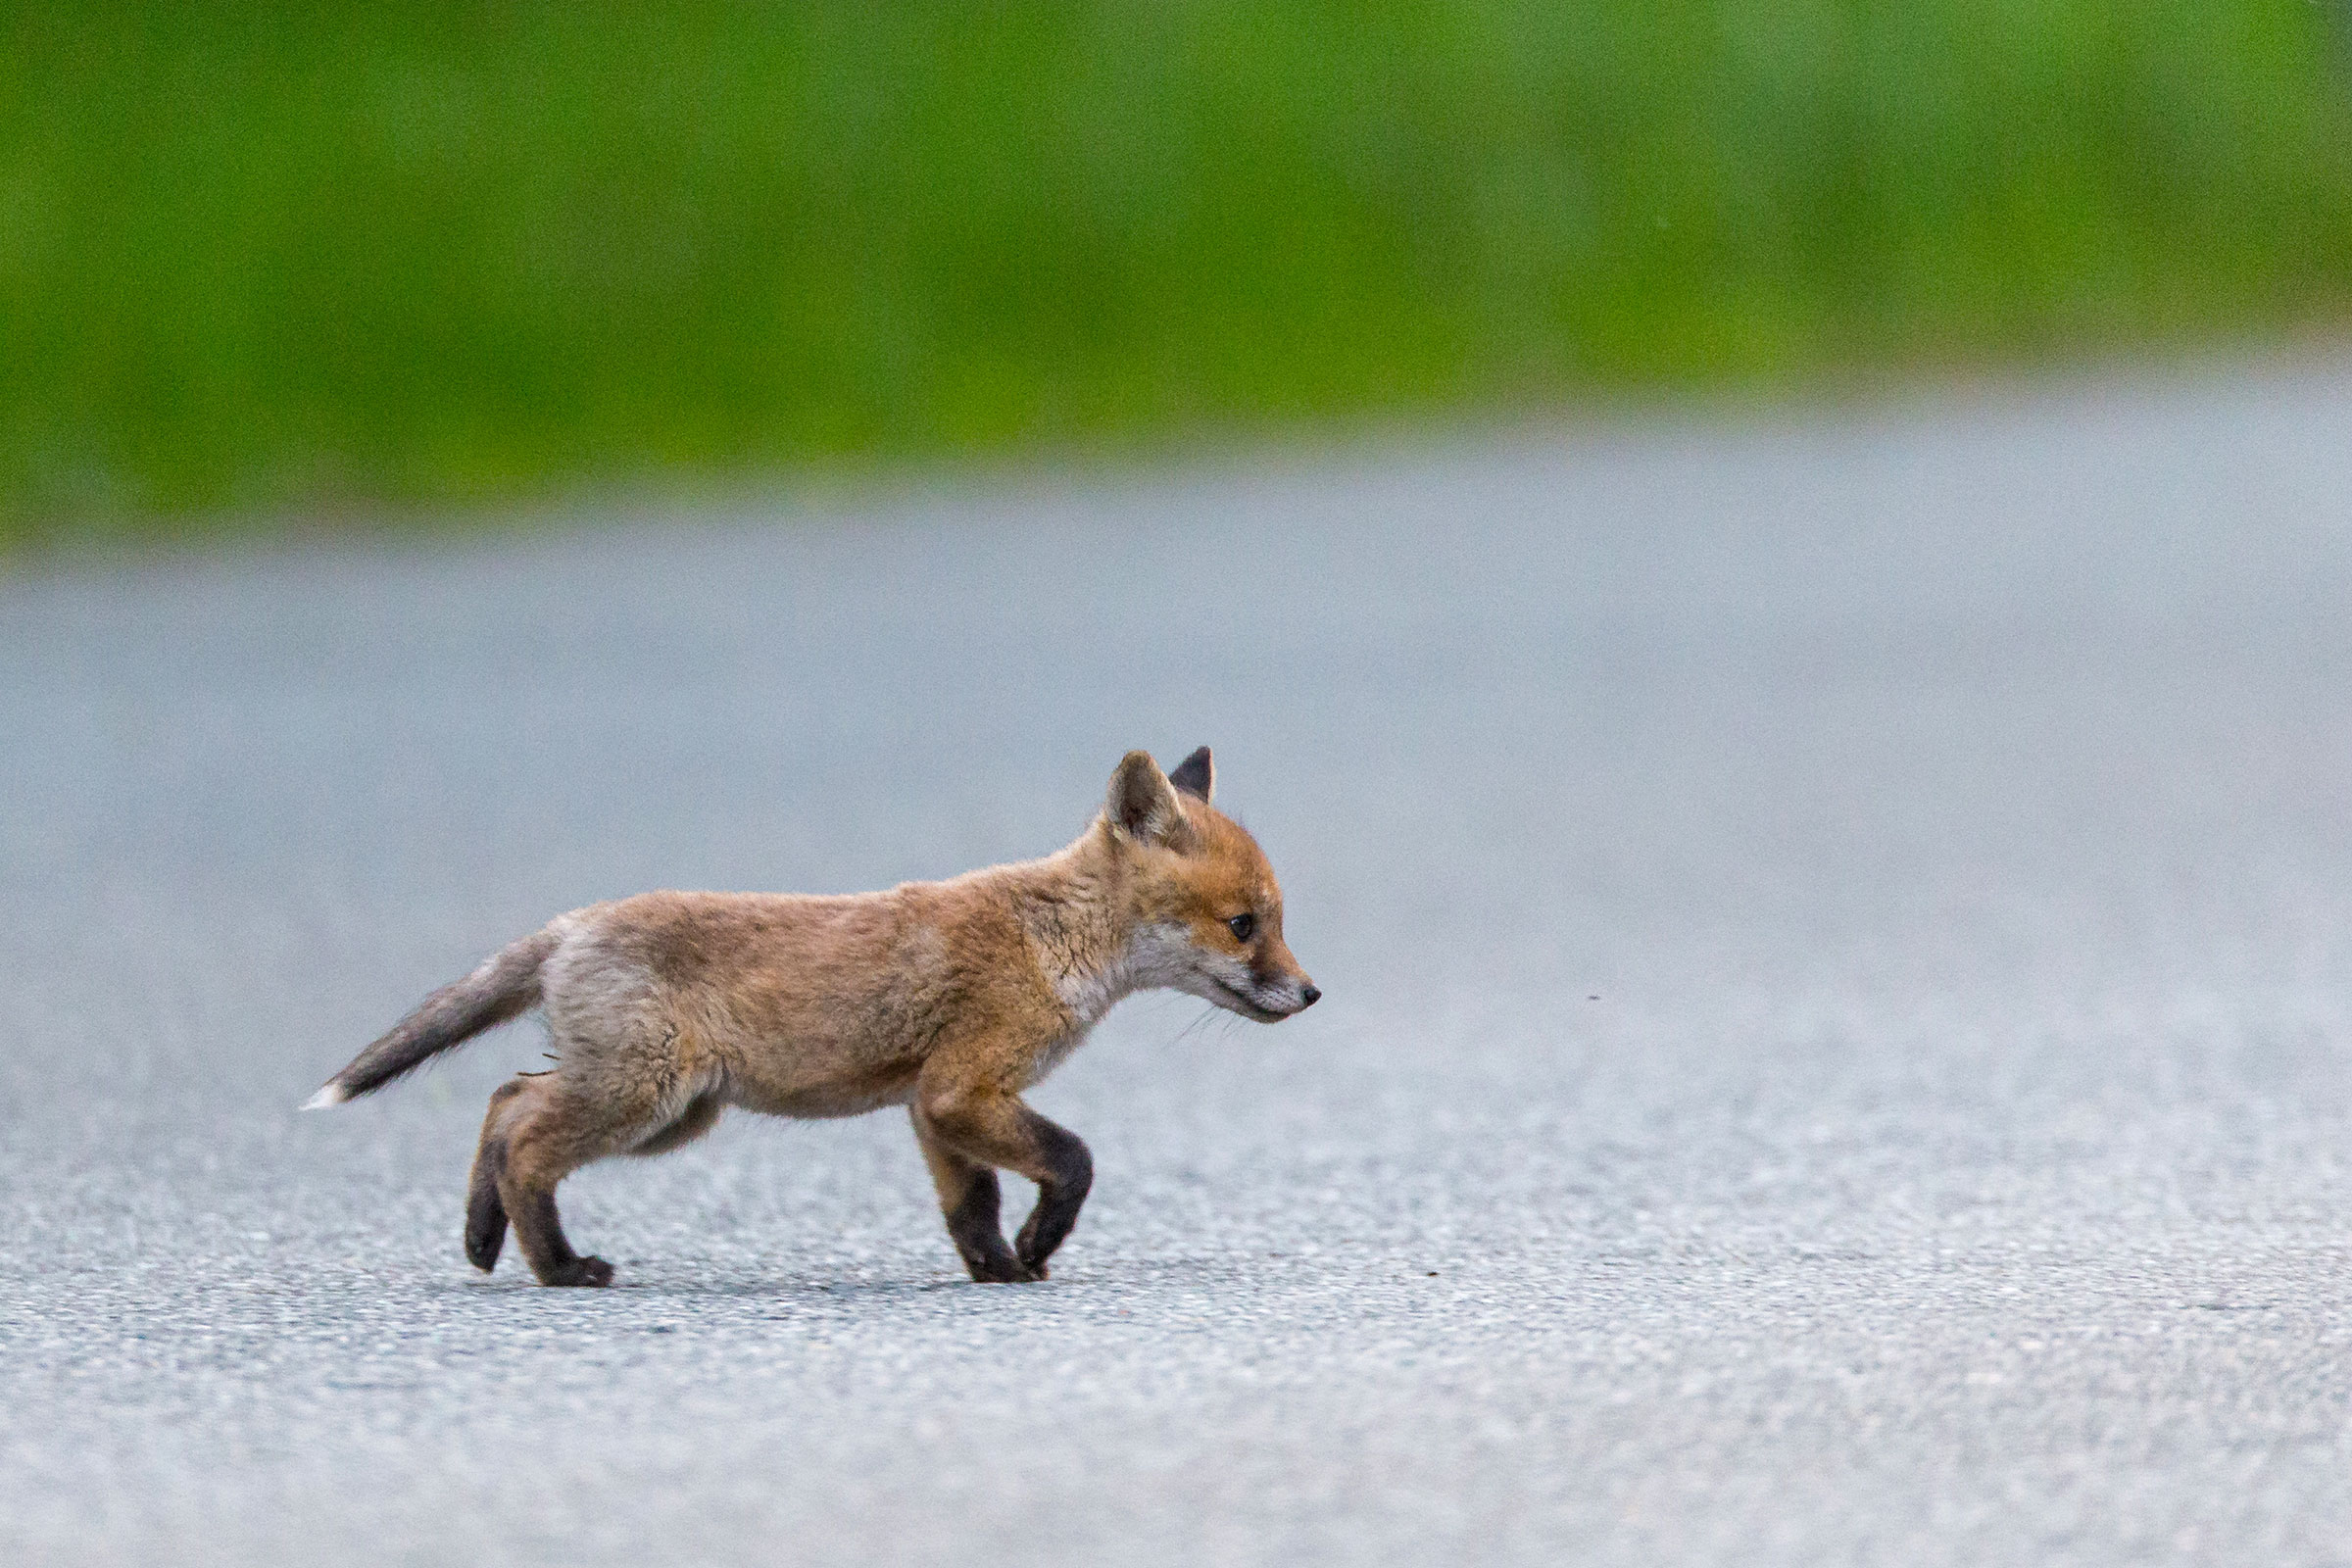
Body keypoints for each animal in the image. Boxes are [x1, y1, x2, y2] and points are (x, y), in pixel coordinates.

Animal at [305, 747, 1318, 1287]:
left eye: (1275, 921)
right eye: (1244, 924)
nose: (1311, 995)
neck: (1050, 938)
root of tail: (571, 924)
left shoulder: (933, 1105)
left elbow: (972, 1206)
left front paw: (997, 1270)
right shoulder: (963, 1089)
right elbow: (1073, 1160)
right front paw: (1035, 1247)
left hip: (670, 1111)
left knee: (506, 1098)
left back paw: (482, 1240)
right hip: (644, 1098)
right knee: (524, 1143)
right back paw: (558, 1267)